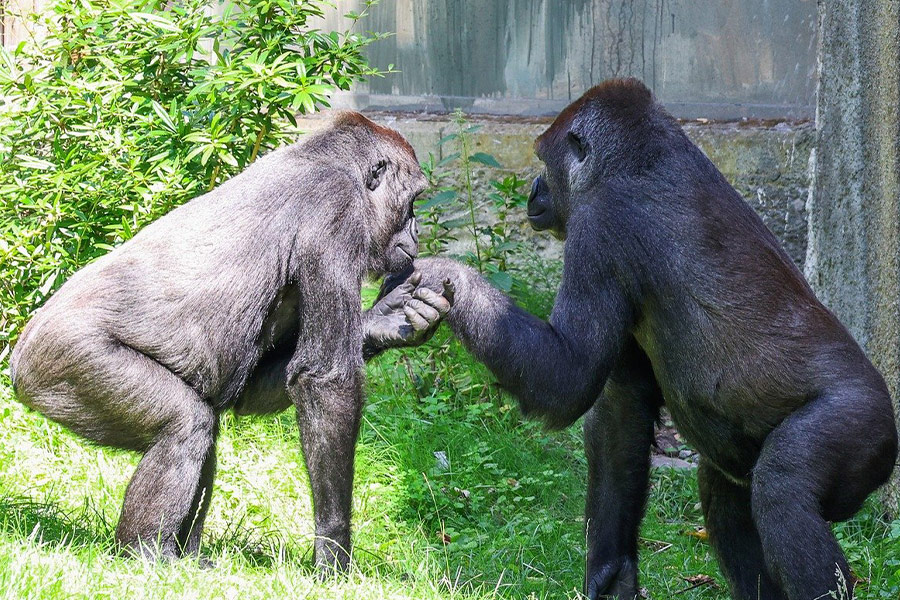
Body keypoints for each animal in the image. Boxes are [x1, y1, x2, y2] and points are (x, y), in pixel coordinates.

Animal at [10, 111, 454, 571]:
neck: (330, 163)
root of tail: (19, 356)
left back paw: (185, 557)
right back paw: (145, 554)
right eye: (412, 201)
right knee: (186, 424)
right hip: (62, 359)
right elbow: (324, 381)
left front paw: (386, 320)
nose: (417, 229)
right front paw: (333, 552)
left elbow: (259, 388)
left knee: (202, 424)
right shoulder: (338, 213)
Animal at [388, 79, 898, 599]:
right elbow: (621, 410)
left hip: (864, 424)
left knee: (785, 490)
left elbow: (567, 376)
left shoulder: (597, 227)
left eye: (545, 164)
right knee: (725, 490)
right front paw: (612, 573)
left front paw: (446, 275)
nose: (533, 189)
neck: (642, 160)